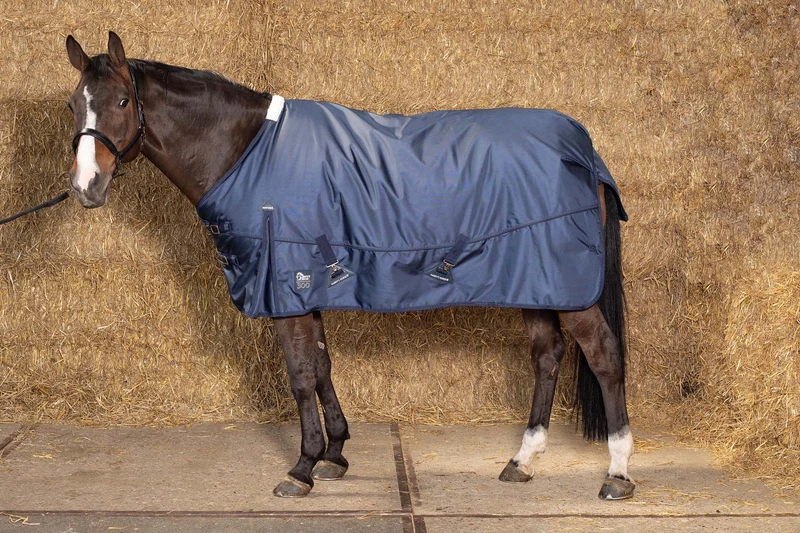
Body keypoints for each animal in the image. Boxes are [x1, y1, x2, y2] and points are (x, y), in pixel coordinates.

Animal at [64, 32, 635, 501]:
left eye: (121, 101)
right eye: (74, 104)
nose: (85, 186)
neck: (247, 151)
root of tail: (583, 148)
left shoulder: (287, 289)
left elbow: (299, 375)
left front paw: (301, 467)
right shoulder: (307, 289)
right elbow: (321, 366)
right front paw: (334, 454)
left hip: (568, 287)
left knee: (604, 355)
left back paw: (617, 473)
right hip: (535, 282)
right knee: (547, 356)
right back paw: (521, 461)